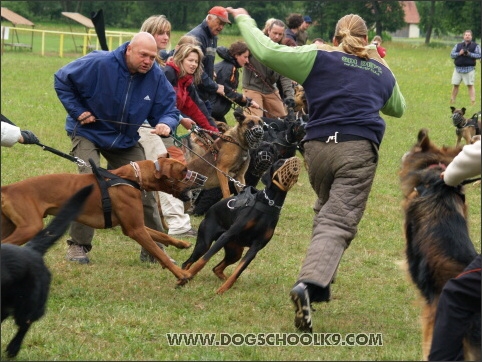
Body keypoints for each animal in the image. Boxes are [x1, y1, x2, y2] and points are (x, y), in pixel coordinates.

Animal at [0, 154, 206, 282]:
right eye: (184, 170)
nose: (202, 179)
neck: (132, 177)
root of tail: (8, 189)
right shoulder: (136, 230)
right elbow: (159, 252)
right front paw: (181, 274)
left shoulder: (134, 225)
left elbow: (160, 235)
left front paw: (181, 244)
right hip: (30, 227)